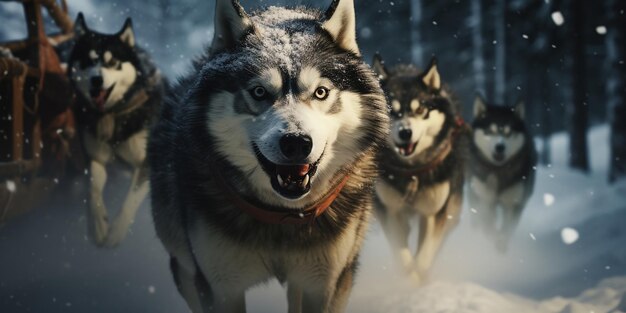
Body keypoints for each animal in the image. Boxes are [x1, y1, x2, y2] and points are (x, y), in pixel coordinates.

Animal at [67, 13, 163, 247]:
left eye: (112, 62)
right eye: (88, 60)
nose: (97, 79)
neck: (111, 115)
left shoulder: (145, 162)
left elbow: (131, 199)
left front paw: (117, 232)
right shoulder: (96, 157)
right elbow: (92, 187)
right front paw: (98, 225)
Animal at [149, 0, 388, 312]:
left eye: (321, 92)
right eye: (259, 92)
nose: (296, 143)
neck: (282, 217)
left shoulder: (325, 284)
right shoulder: (221, 287)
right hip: (185, 267)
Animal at [368, 54, 466, 282]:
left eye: (420, 109)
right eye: (392, 111)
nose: (405, 132)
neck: (412, 171)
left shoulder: (433, 212)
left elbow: (424, 256)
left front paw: (420, 278)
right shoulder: (389, 209)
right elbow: (403, 255)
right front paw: (408, 281)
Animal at [466, 96, 532, 252]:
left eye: (509, 132)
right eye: (490, 131)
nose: (500, 147)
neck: (498, 170)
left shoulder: (514, 203)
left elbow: (506, 230)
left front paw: (501, 245)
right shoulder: (484, 200)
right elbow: (488, 227)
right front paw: (492, 238)